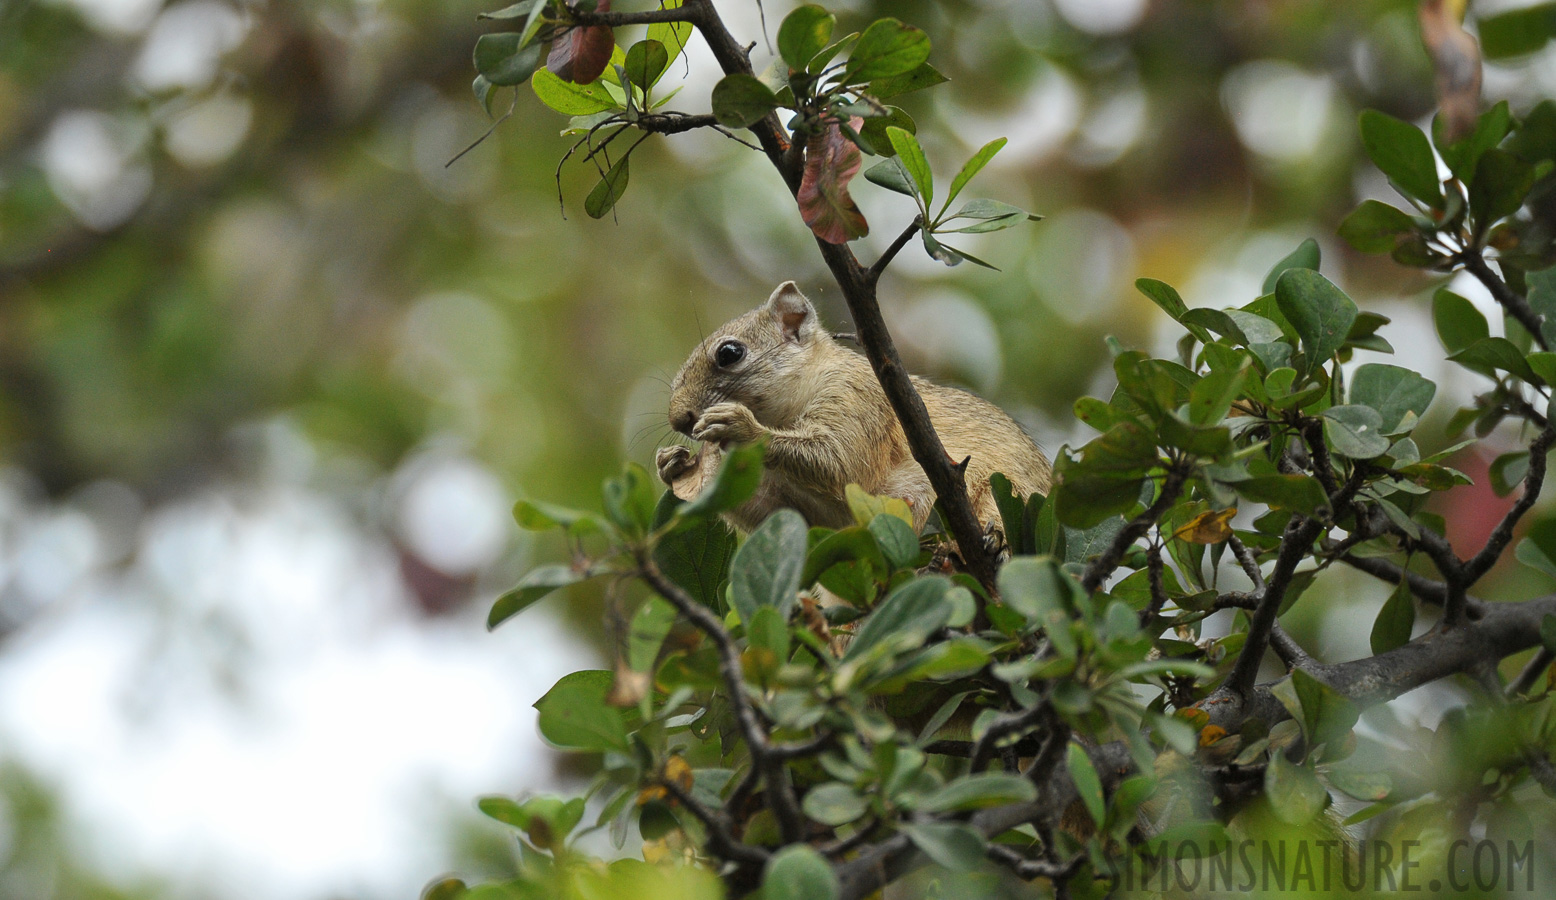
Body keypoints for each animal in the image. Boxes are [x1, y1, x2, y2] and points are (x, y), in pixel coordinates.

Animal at [650, 280, 1051, 532]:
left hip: (1000, 492)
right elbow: (783, 514)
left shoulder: (858, 399)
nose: (678, 418)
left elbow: (840, 462)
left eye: (730, 353)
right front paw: (674, 465)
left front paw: (740, 426)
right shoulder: (817, 512)